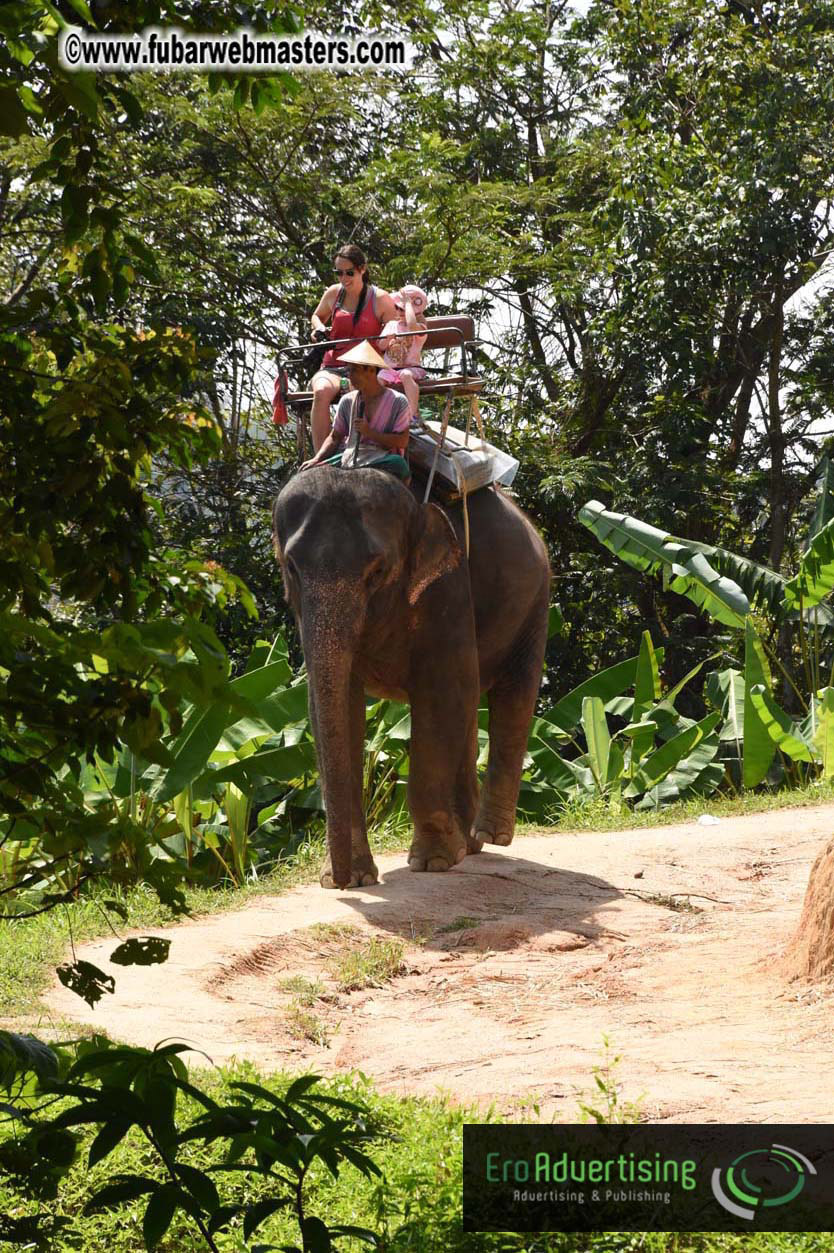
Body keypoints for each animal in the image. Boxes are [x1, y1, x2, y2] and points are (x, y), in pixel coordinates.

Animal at [272, 467, 550, 889]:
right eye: (292, 567)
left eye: (377, 571)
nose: (339, 883)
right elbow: (337, 709)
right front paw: (353, 877)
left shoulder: (448, 589)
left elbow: (441, 694)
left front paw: (434, 862)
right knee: (471, 707)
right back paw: (469, 845)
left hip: (536, 602)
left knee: (512, 697)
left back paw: (490, 836)